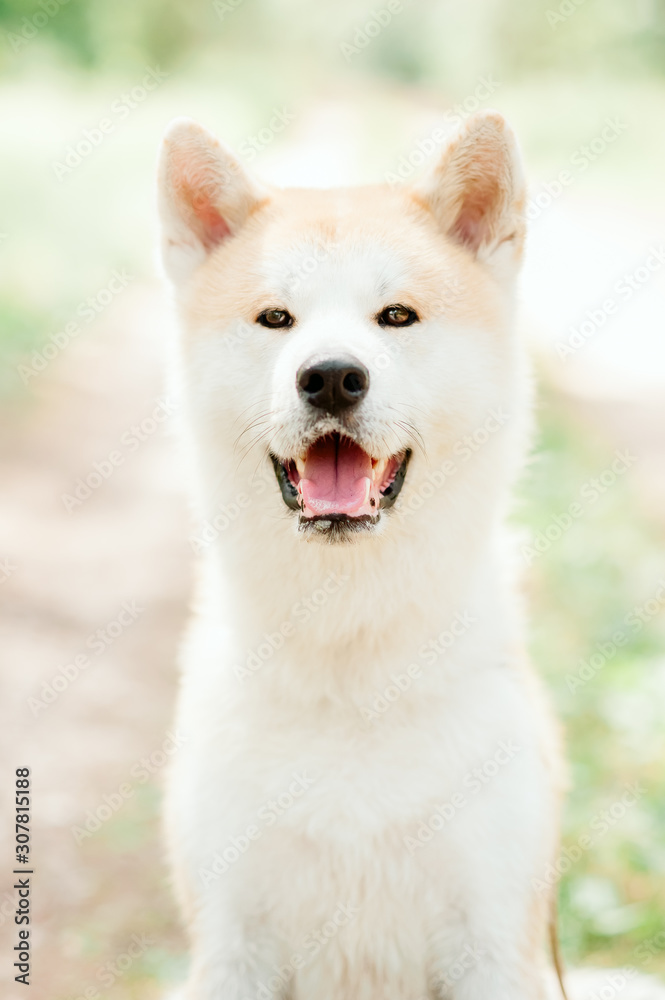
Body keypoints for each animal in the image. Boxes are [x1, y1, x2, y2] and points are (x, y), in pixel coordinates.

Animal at [156, 109, 564, 1000]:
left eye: (396, 317)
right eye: (276, 319)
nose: (333, 377)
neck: (350, 649)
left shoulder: (491, 944)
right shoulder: (232, 945)